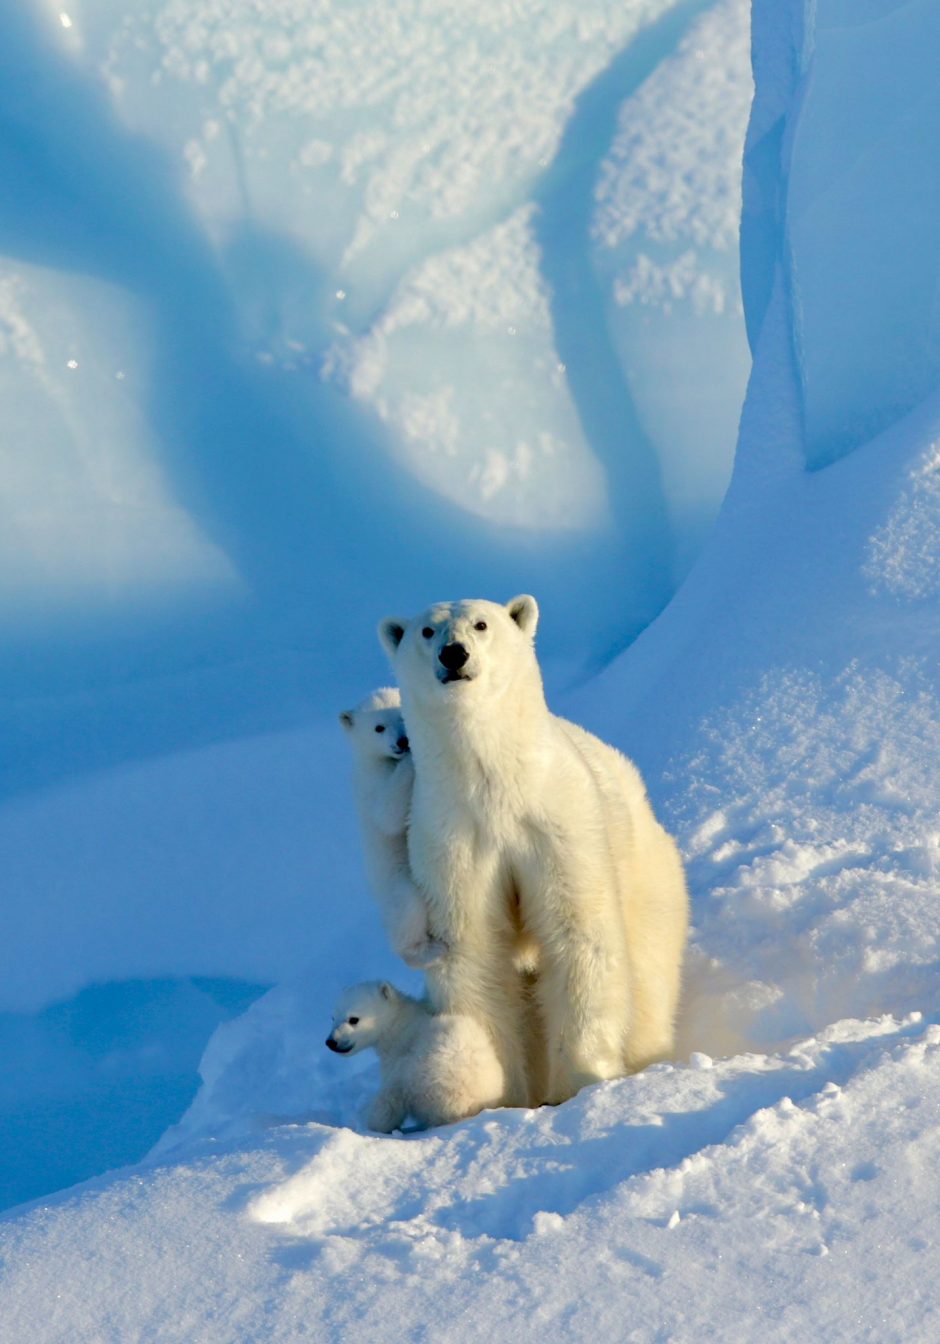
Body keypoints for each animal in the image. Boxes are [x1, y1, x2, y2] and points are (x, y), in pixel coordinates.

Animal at [329, 978, 508, 1134]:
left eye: (354, 1019)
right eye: (333, 1017)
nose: (331, 1042)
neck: (399, 1024)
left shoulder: (399, 1056)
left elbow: (389, 1097)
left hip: (428, 1074)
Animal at [340, 693, 446, 967]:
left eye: (402, 716)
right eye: (379, 727)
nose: (403, 741)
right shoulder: (371, 785)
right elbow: (387, 816)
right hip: (396, 881)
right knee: (408, 907)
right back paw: (427, 951)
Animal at [379, 594, 688, 1107]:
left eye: (482, 624)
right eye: (427, 630)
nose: (454, 654)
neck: (496, 784)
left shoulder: (556, 823)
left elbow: (578, 932)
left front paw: (581, 1079)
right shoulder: (452, 839)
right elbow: (474, 953)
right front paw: (501, 1093)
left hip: (648, 871)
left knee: (648, 973)